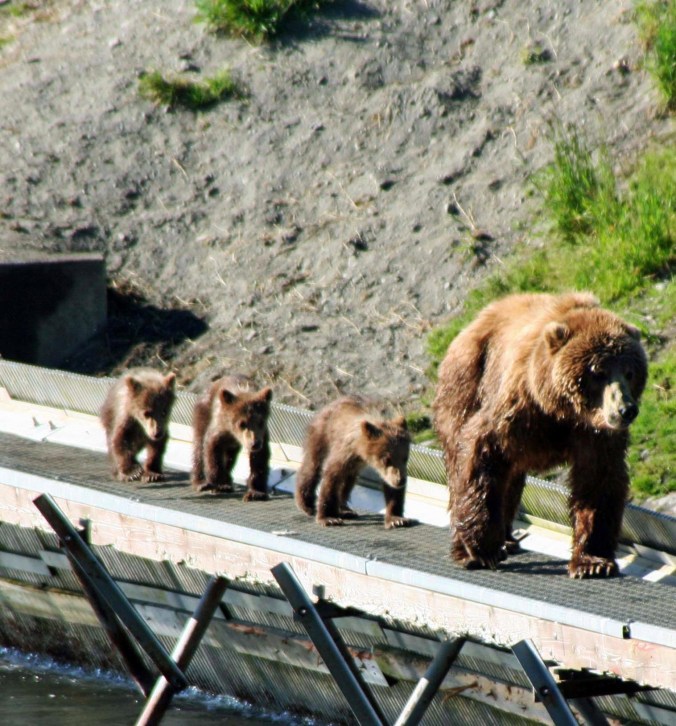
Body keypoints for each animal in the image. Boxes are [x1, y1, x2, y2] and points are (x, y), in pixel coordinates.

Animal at [295, 396, 413, 529]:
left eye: (405, 457)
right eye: (386, 459)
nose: (400, 480)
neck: (361, 451)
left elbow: (392, 489)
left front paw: (396, 519)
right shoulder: (344, 453)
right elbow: (331, 478)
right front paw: (328, 518)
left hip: (351, 467)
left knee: (347, 482)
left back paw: (345, 510)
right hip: (321, 435)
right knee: (312, 466)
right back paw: (306, 504)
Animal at [432, 292, 647, 578]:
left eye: (630, 372)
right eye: (598, 372)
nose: (626, 409)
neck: (560, 410)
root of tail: (474, 321)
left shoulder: (595, 434)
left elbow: (598, 480)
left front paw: (593, 562)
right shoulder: (518, 405)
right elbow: (481, 450)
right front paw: (481, 550)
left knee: (511, 479)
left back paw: (507, 539)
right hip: (467, 382)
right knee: (462, 464)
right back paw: (470, 547)